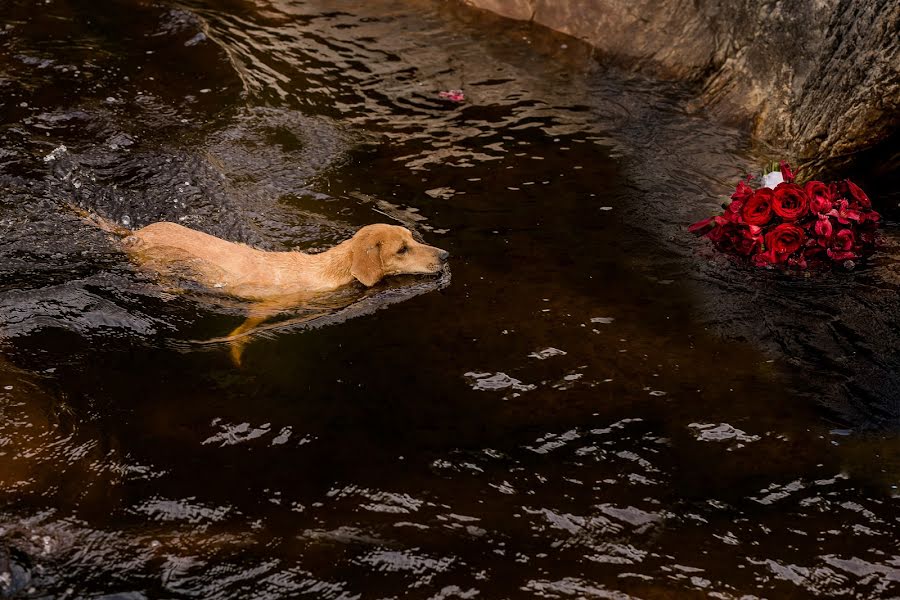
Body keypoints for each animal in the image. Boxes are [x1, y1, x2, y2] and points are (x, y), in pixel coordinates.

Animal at [75, 209, 448, 364]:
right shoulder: (267, 307)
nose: (445, 255)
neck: (326, 270)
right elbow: (242, 333)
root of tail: (135, 233)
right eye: (402, 250)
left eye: (413, 238)